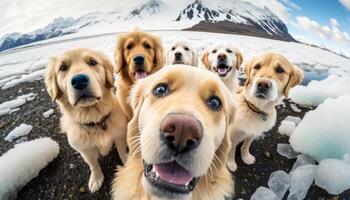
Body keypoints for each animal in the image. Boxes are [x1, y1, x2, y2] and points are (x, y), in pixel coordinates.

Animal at [44, 48, 128, 192]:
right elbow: (92, 164)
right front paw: (96, 178)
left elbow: (122, 153)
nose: (79, 81)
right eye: (63, 67)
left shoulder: (119, 136)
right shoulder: (84, 149)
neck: (94, 119)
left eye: (93, 62)